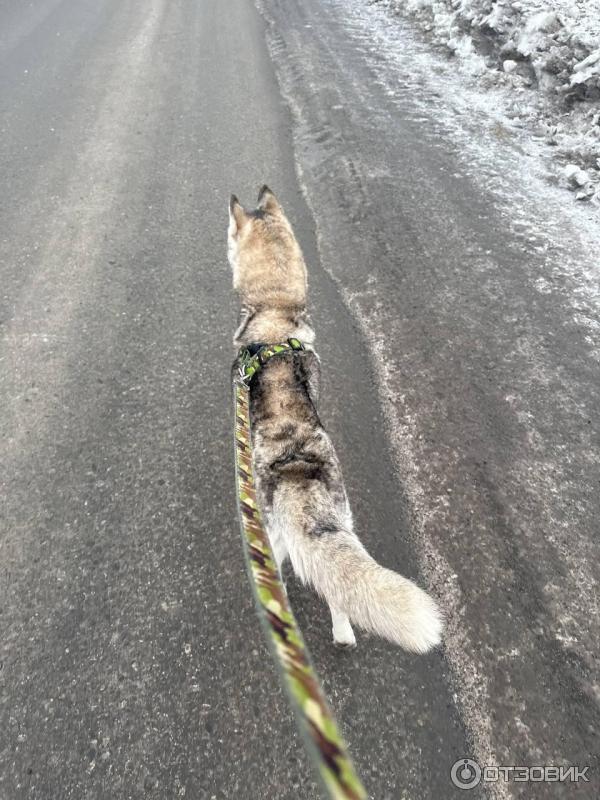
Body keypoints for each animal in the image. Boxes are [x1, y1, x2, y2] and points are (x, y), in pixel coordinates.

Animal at [229, 186, 440, 648]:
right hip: (343, 522)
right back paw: (343, 633)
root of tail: (296, 469)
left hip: (271, 538)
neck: (274, 316)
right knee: (337, 592)